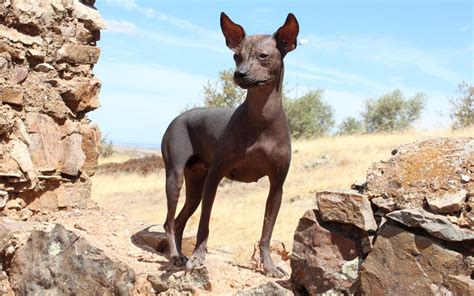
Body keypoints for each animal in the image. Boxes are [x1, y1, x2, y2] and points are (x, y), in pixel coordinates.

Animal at [161, 12, 298, 278]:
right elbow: (204, 225)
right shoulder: (215, 177)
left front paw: (269, 266)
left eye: (263, 56)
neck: (261, 119)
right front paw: (198, 257)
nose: (240, 74)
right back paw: (176, 256)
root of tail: (178, 117)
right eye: (236, 56)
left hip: (195, 185)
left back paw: (179, 254)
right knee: (170, 221)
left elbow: (266, 233)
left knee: (179, 221)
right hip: (175, 177)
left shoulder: (277, 186)